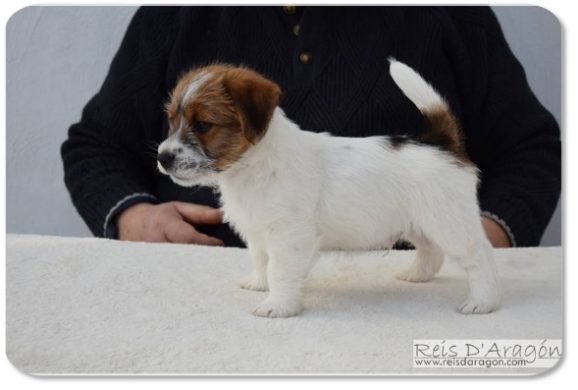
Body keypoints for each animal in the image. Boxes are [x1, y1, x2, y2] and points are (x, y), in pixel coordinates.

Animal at [156, 60, 500, 316]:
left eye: (203, 125)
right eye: (171, 120)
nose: (162, 157)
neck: (254, 165)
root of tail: (439, 144)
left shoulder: (288, 235)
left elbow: (279, 268)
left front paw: (278, 305)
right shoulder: (258, 232)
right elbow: (260, 259)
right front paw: (259, 283)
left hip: (449, 223)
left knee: (480, 256)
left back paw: (482, 301)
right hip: (420, 223)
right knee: (431, 250)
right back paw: (417, 275)